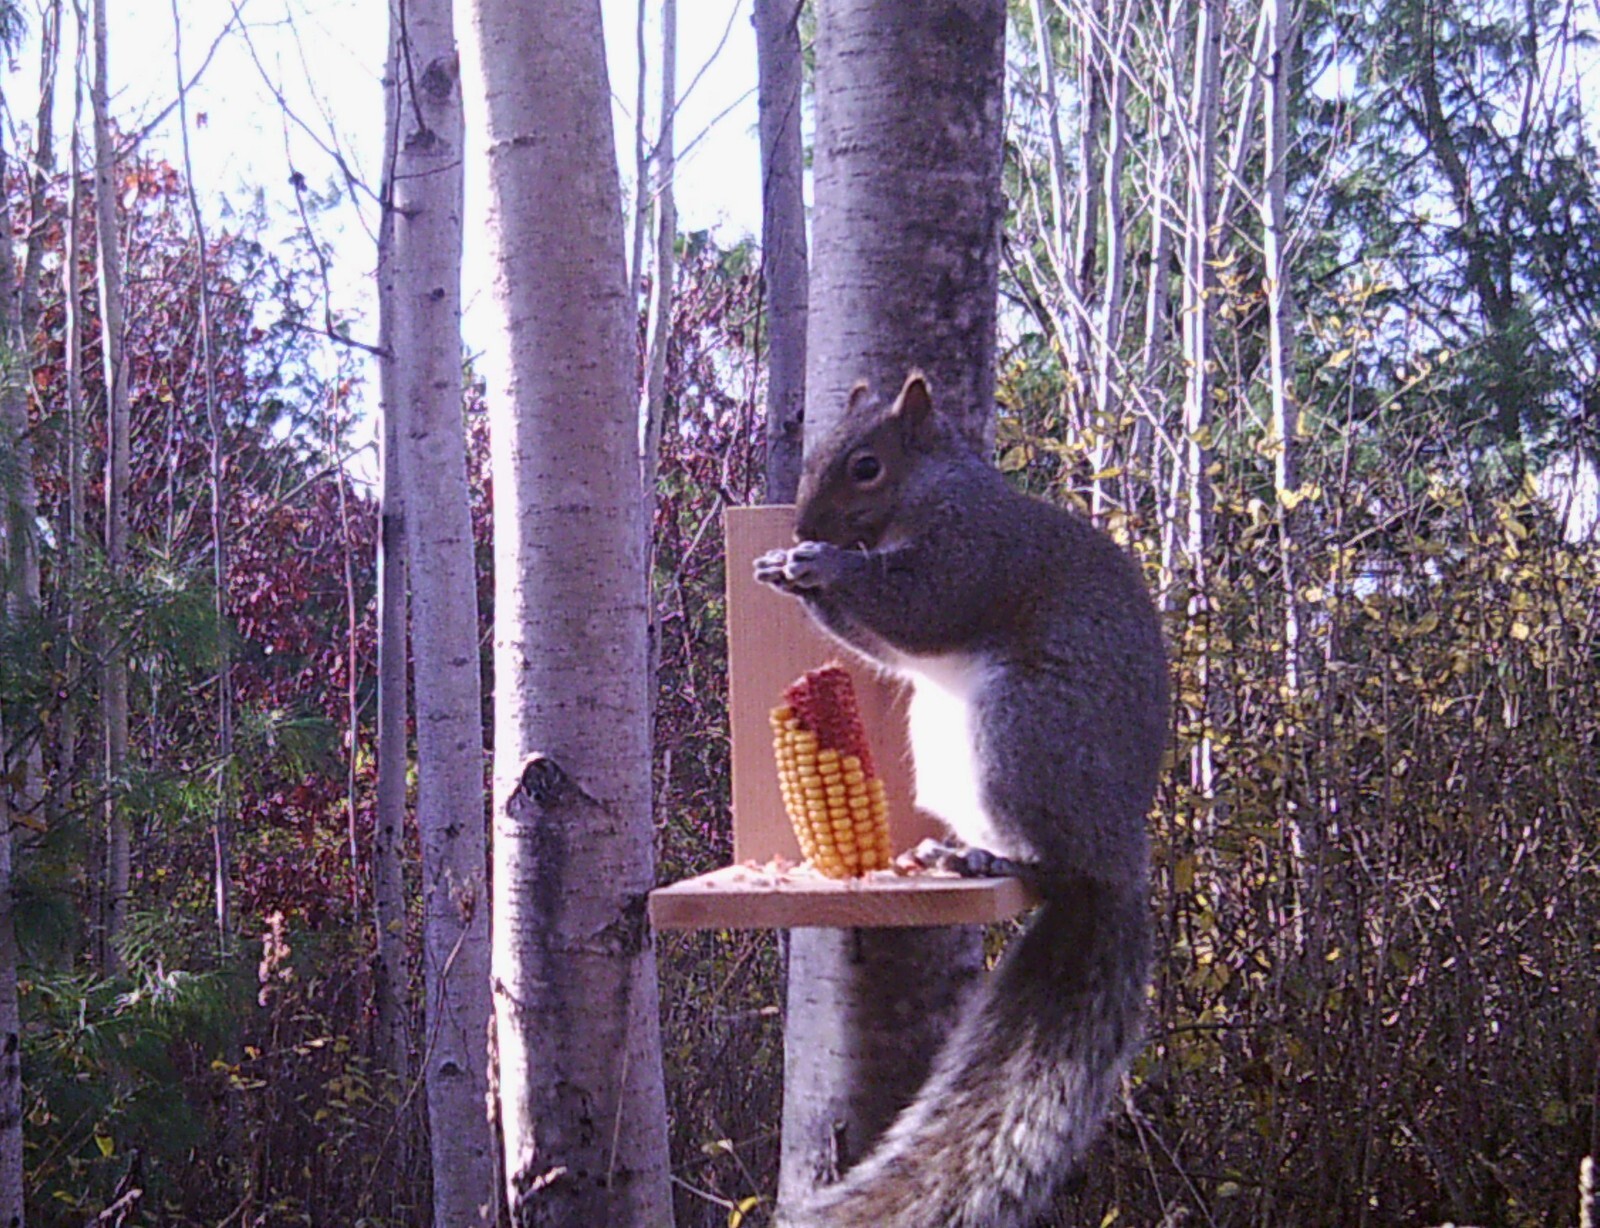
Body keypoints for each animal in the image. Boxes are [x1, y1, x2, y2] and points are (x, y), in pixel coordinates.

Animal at [754, 371, 1168, 1228]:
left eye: (867, 467)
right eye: (814, 455)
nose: (803, 525)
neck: (933, 492)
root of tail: (1118, 862)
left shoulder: (977, 552)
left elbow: (921, 604)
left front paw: (822, 564)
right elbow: (884, 641)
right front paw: (784, 567)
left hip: (1022, 734)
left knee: (1049, 864)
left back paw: (989, 860)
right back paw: (945, 849)